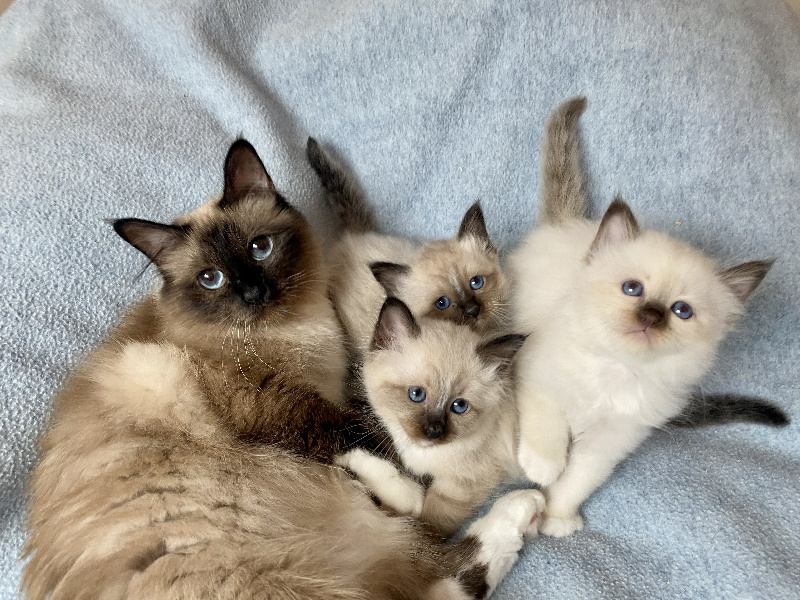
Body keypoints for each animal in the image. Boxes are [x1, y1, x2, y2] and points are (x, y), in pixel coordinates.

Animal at [510, 98, 784, 540]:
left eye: (681, 310)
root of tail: (568, 225)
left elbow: (578, 480)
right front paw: (543, 468)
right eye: (633, 288)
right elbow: (548, 428)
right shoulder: (535, 374)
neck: (617, 370)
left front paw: (558, 518)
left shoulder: (610, 443)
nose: (651, 315)